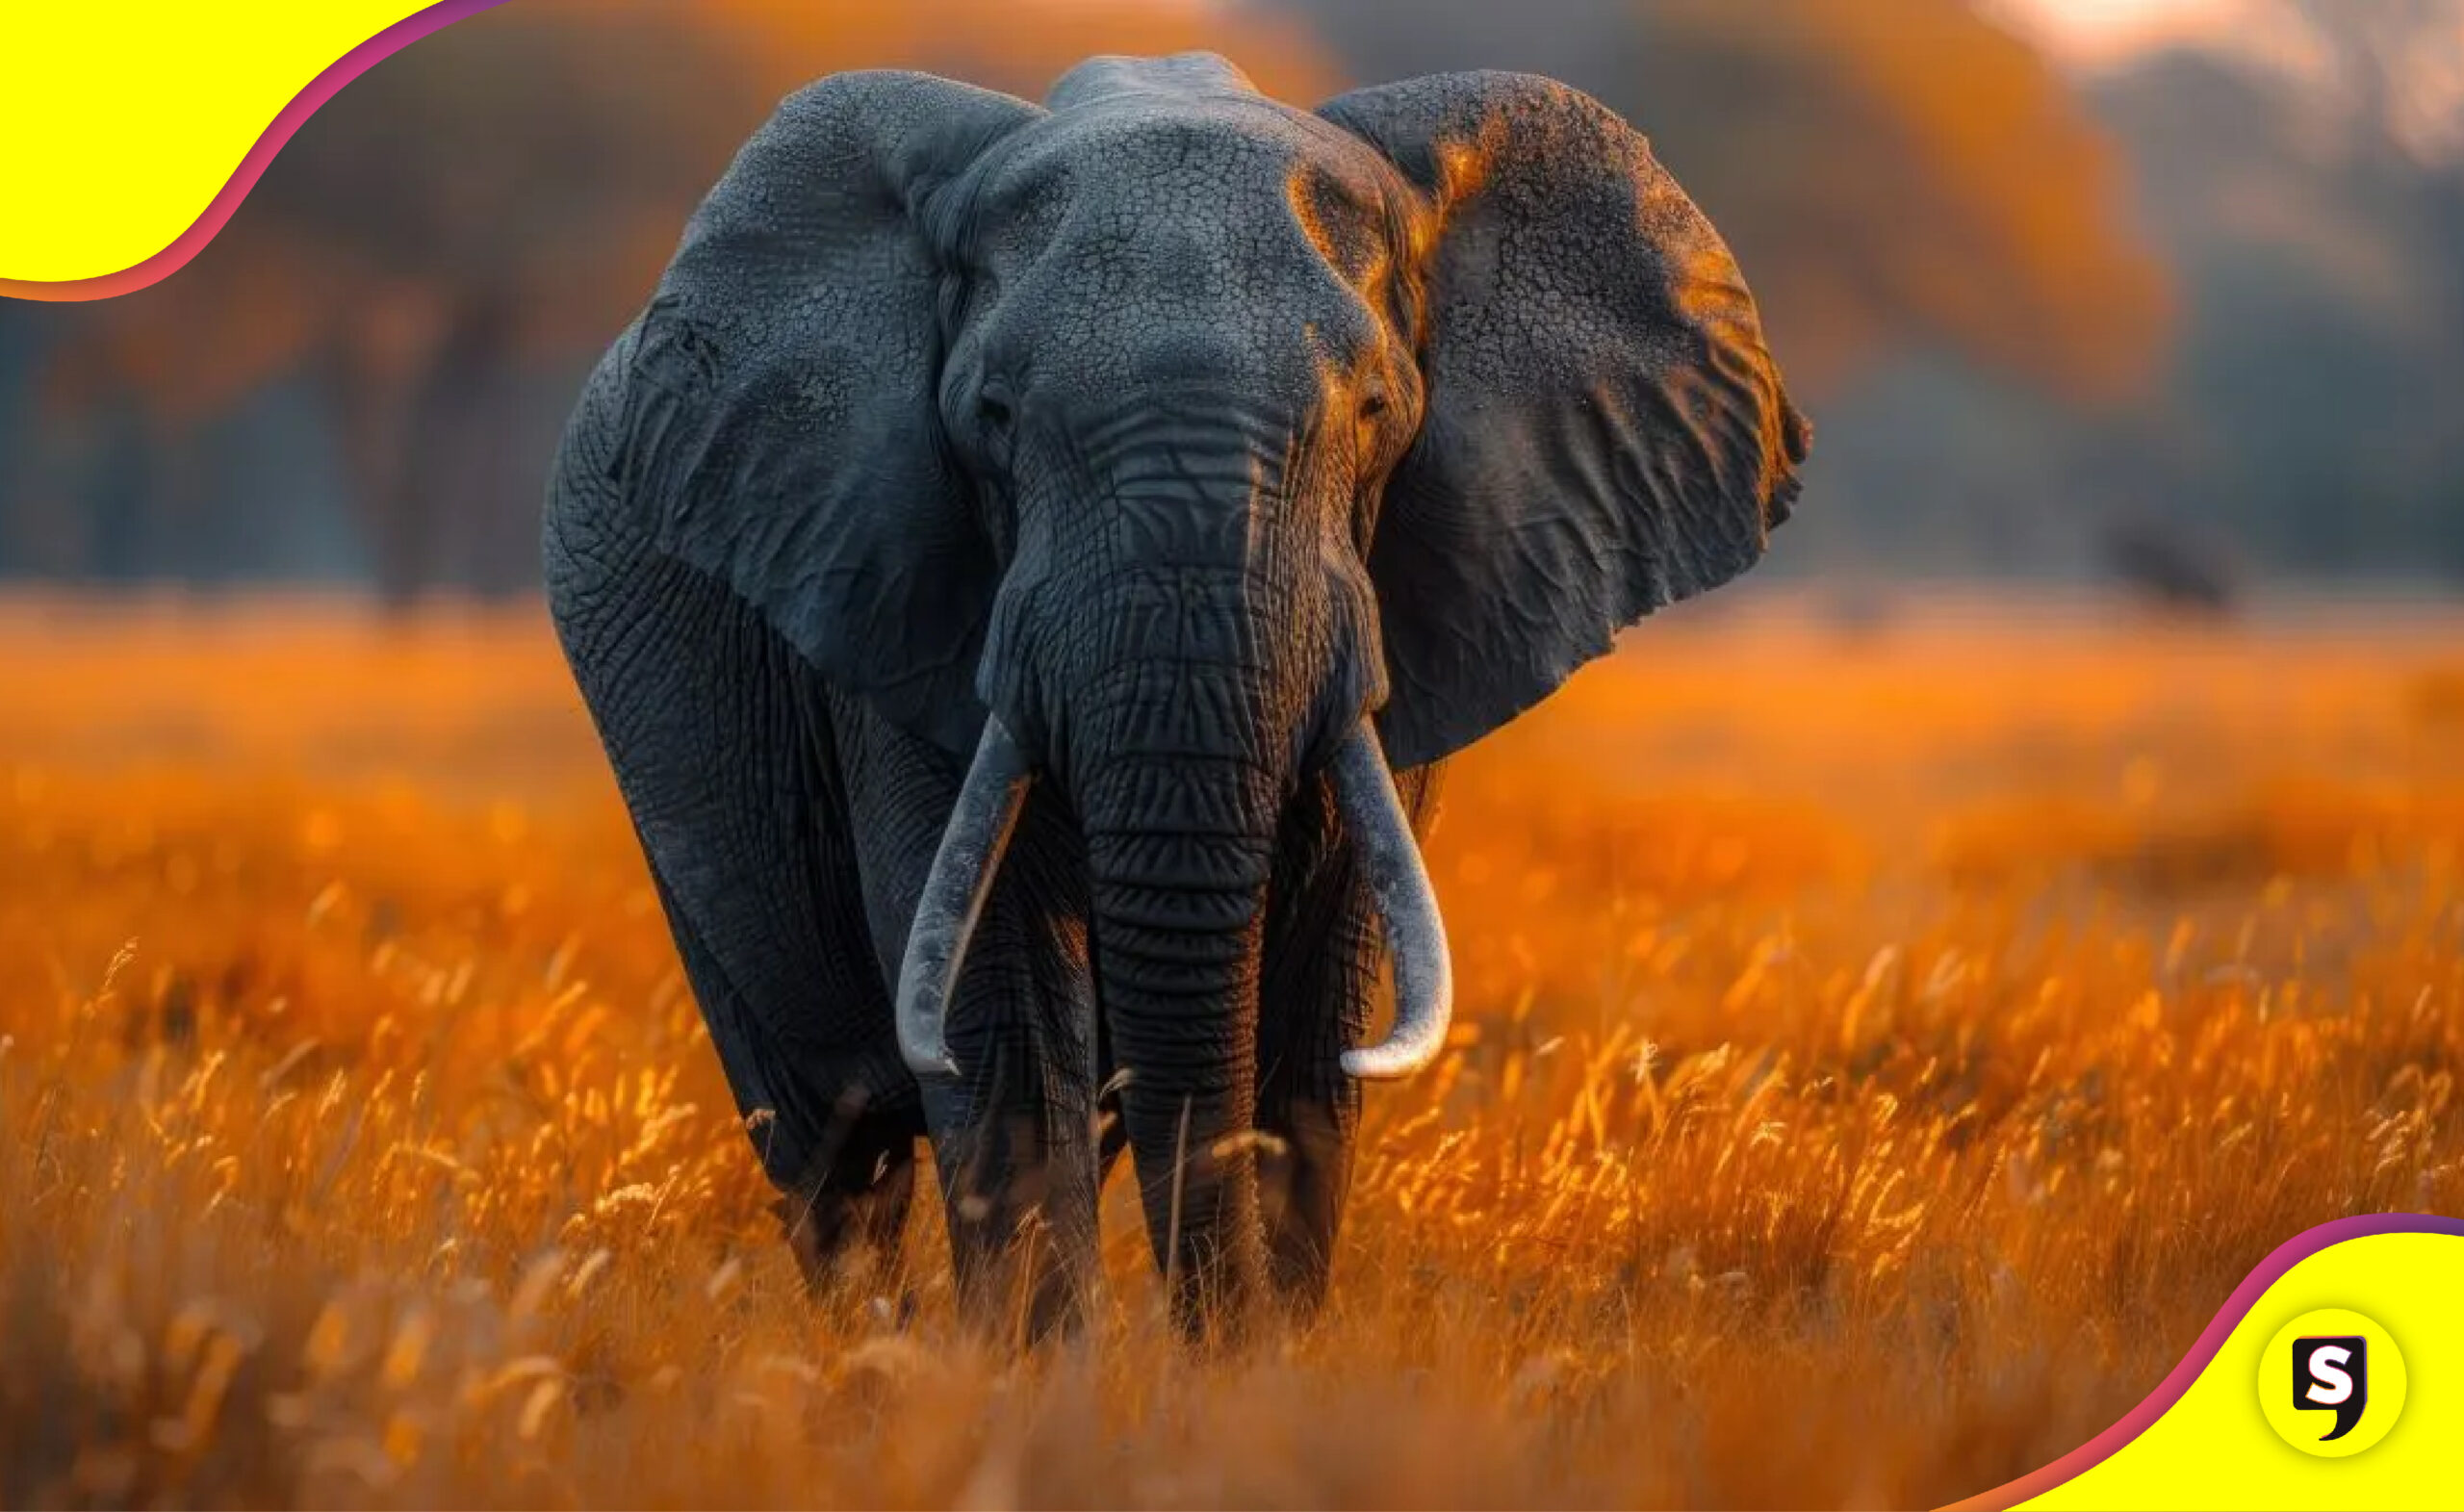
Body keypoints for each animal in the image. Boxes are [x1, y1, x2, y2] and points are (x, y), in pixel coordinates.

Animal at [543, 51, 1806, 1343]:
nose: (1210, 1343)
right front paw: (1047, 1377)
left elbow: (1315, 1013)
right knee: (833, 1148)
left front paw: (1259, 1372)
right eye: (992, 418)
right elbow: (1001, 1005)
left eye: (1374, 411)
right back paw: (866, 1352)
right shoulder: (886, 579)